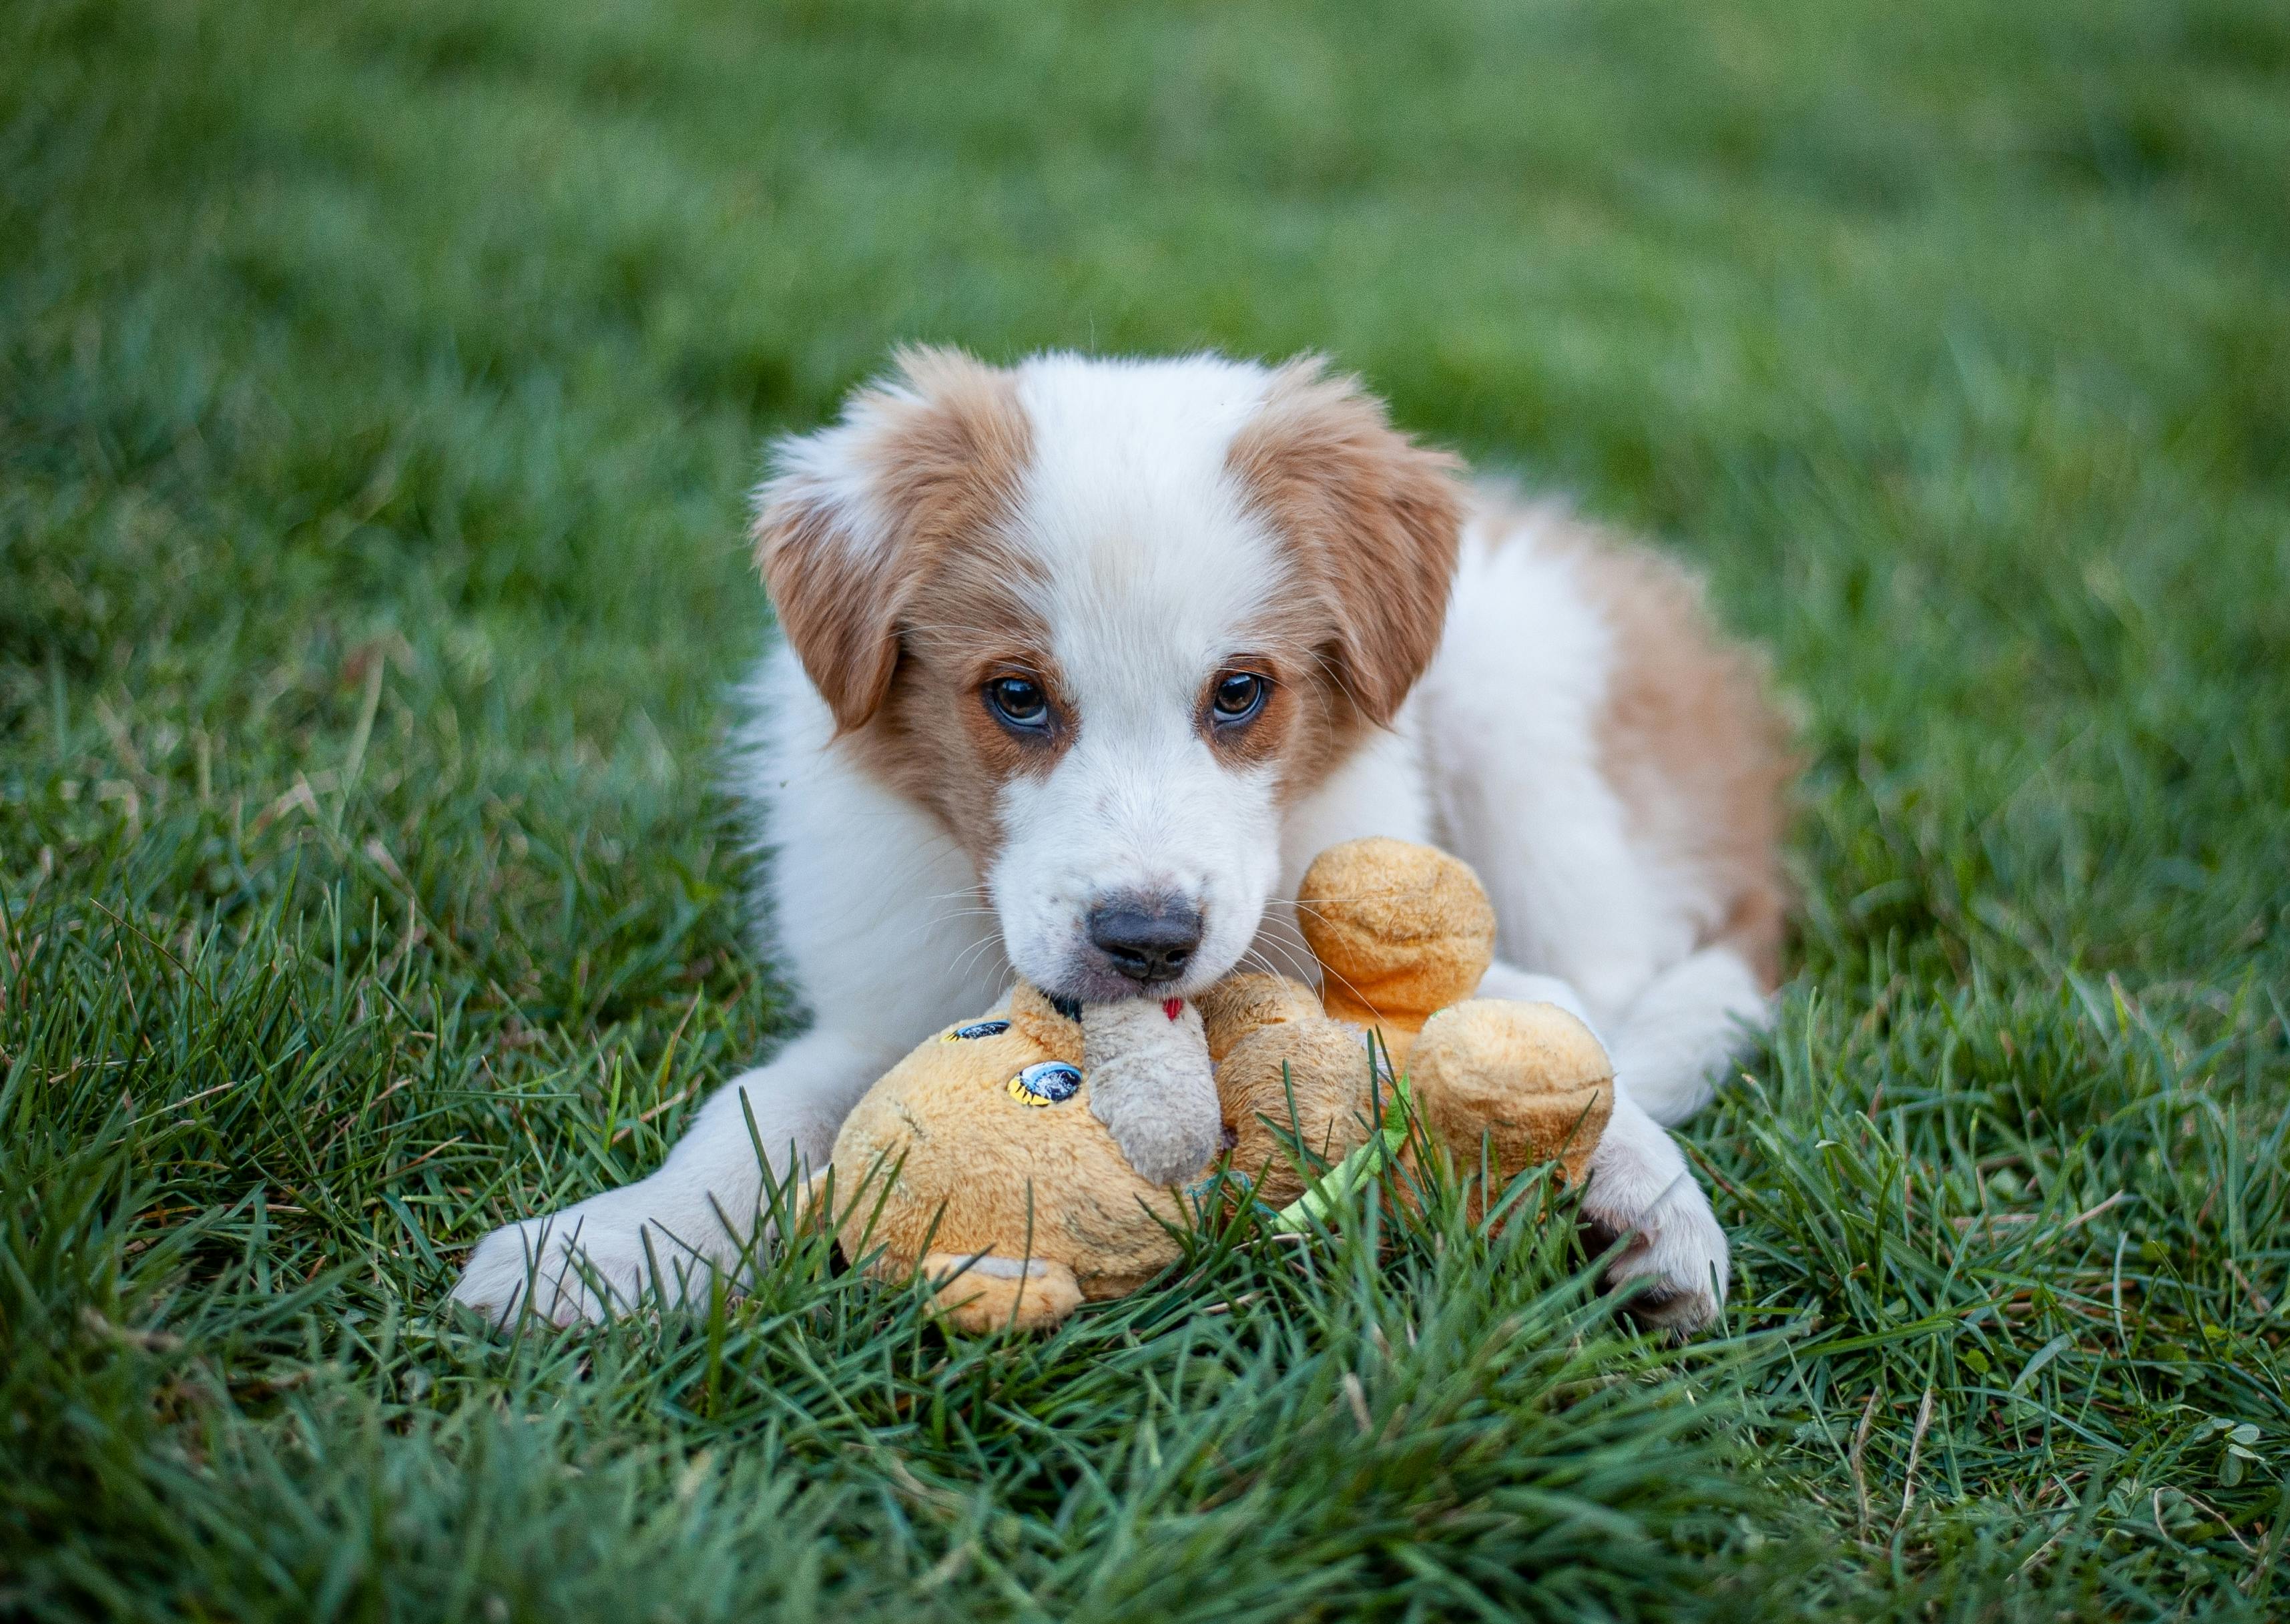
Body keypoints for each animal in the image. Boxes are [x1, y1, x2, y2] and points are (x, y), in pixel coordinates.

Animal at [455, 348, 1795, 1338]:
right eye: (1014, 696)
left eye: (1241, 692)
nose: (1146, 944)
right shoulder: (880, 1011)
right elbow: (757, 1111)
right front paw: (605, 1246)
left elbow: (1535, 1016)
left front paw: (1653, 1203)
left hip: (1529, 713)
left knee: (1608, 980)